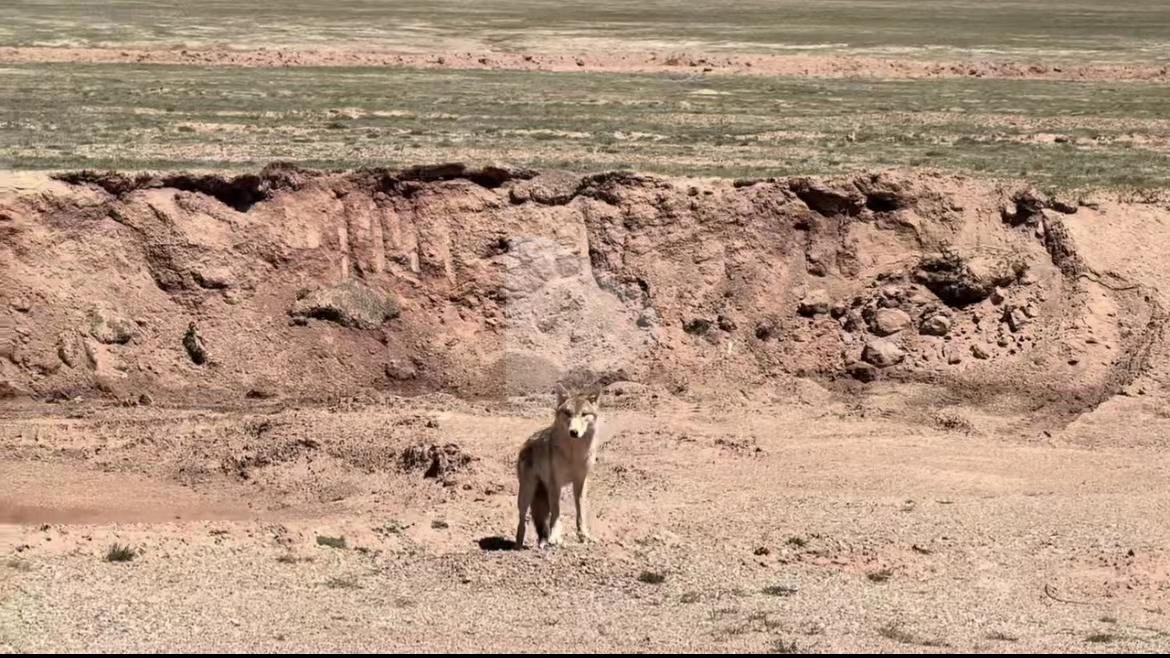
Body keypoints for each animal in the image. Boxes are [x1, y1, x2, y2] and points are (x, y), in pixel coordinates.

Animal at [514, 381, 603, 545]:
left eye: (584, 414)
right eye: (567, 413)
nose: (573, 432)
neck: (574, 454)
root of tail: (526, 442)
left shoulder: (580, 482)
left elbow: (580, 512)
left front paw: (584, 535)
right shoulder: (555, 484)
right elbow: (557, 513)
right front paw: (556, 537)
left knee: (541, 524)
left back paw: (542, 543)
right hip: (526, 494)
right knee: (523, 521)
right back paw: (518, 545)